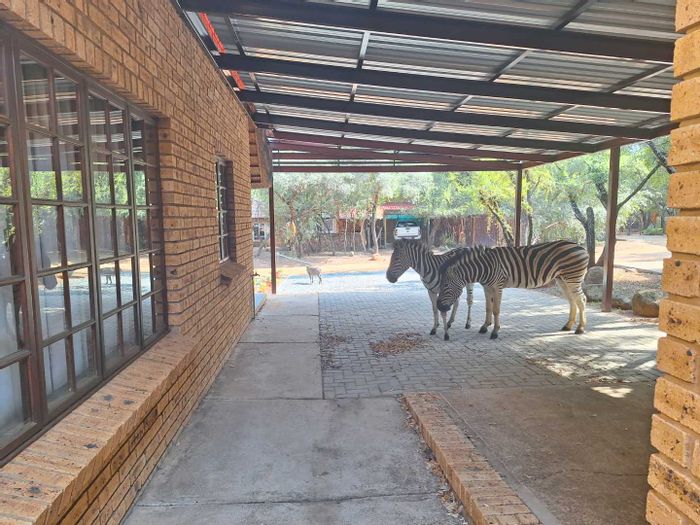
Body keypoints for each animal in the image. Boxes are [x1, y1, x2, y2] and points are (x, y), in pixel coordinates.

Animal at [437, 240, 588, 339]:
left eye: (445, 285)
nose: (439, 307)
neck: (485, 267)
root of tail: (581, 246)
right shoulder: (487, 287)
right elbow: (488, 308)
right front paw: (485, 326)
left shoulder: (497, 286)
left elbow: (496, 310)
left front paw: (495, 332)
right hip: (562, 279)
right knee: (572, 300)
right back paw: (568, 326)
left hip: (573, 278)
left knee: (581, 299)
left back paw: (580, 328)